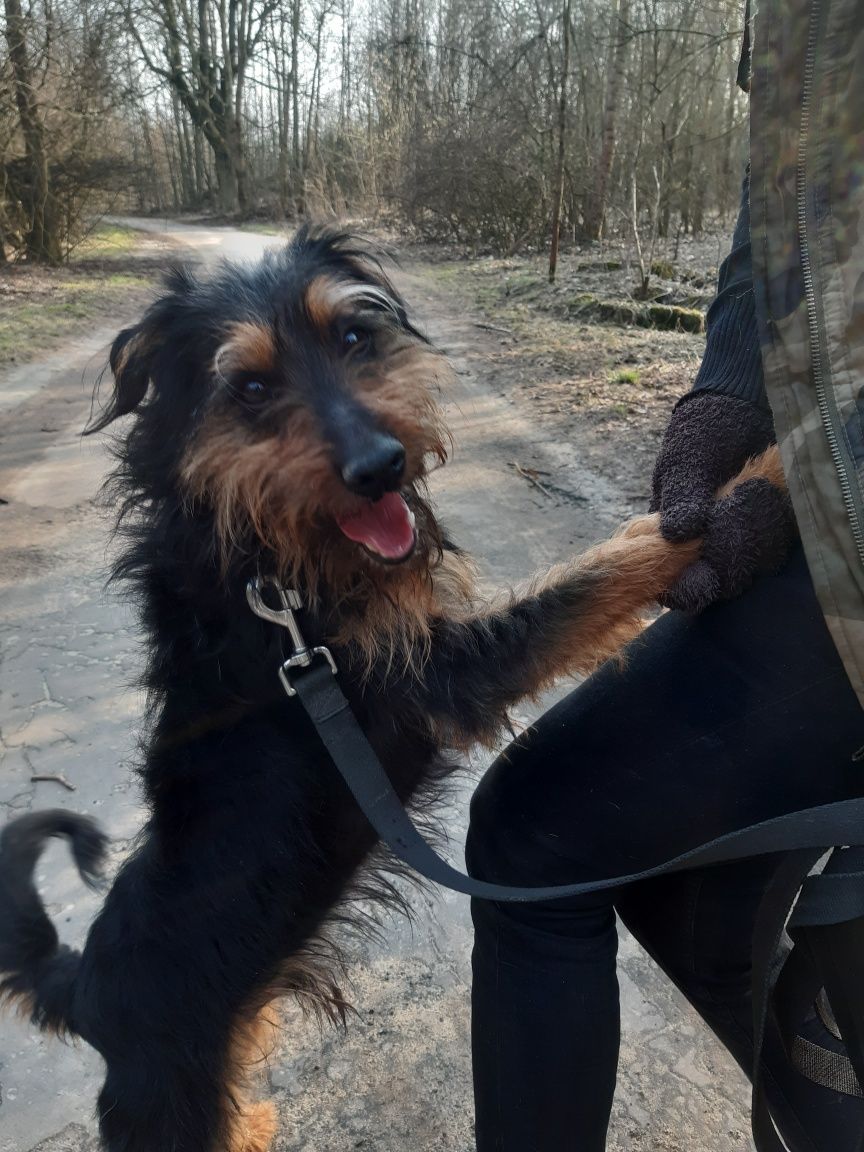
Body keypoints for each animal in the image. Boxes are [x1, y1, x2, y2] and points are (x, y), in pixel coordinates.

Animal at [0, 226, 783, 1152]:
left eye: (351, 336)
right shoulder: (449, 674)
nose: (382, 466)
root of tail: (83, 990)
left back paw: (253, 1122)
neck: (268, 573)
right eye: (251, 387)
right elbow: (612, 564)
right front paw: (773, 474)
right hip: (166, 1110)